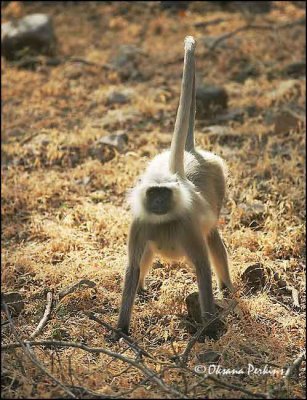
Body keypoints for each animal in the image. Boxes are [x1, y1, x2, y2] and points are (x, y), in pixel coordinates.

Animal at [116, 36, 235, 338]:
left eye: (164, 193)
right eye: (153, 193)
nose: (158, 202)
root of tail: (189, 154)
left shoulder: (187, 225)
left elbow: (203, 268)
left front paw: (209, 328)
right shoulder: (140, 223)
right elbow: (132, 267)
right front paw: (121, 328)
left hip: (217, 185)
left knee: (212, 238)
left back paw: (227, 289)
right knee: (147, 253)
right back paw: (142, 289)